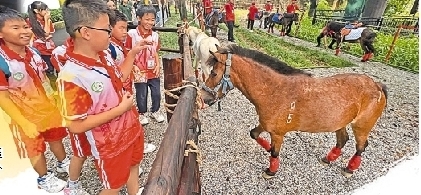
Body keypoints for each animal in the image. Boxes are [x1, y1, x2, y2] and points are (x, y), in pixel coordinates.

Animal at [200, 45, 388, 179]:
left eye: (214, 73)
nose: (203, 99)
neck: (275, 91)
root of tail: (377, 85)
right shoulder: (265, 125)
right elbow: (254, 134)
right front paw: (267, 150)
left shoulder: (277, 133)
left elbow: (275, 152)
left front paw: (271, 171)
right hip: (340, 123)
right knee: (342, 140)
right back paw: (328, 159)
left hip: (361, 127)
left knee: (360, 147)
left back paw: (349, 168)